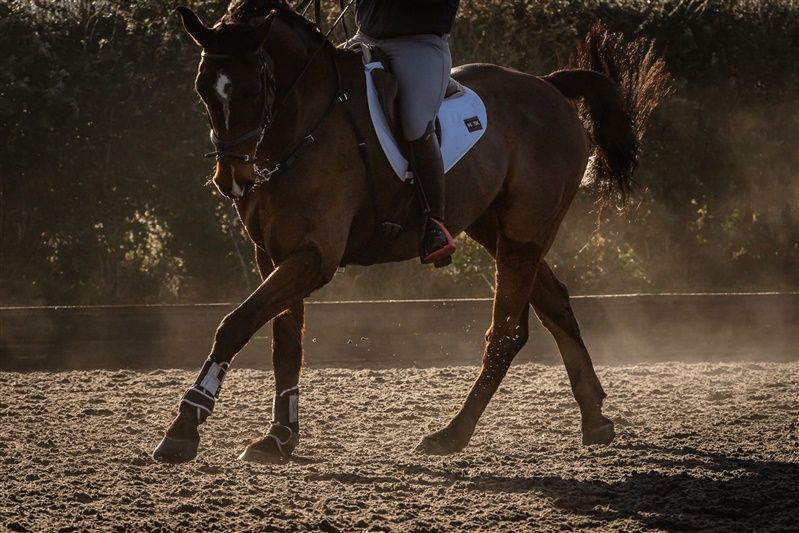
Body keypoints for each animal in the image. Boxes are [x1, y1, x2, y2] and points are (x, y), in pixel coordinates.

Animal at [153, 0, 669, 463]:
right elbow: (286, 343)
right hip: (496, 229)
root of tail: (547, 86)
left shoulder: (313, 257)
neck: (299, 128)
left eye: (251, 90)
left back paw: (451, 435)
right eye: (204, 91)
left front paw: (184, 429)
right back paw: (594, 418)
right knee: (556, 305)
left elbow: (235, 324)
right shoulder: (275, 255)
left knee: (506, 333)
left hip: (523, 235)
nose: (232, 179)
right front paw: (279, 438)